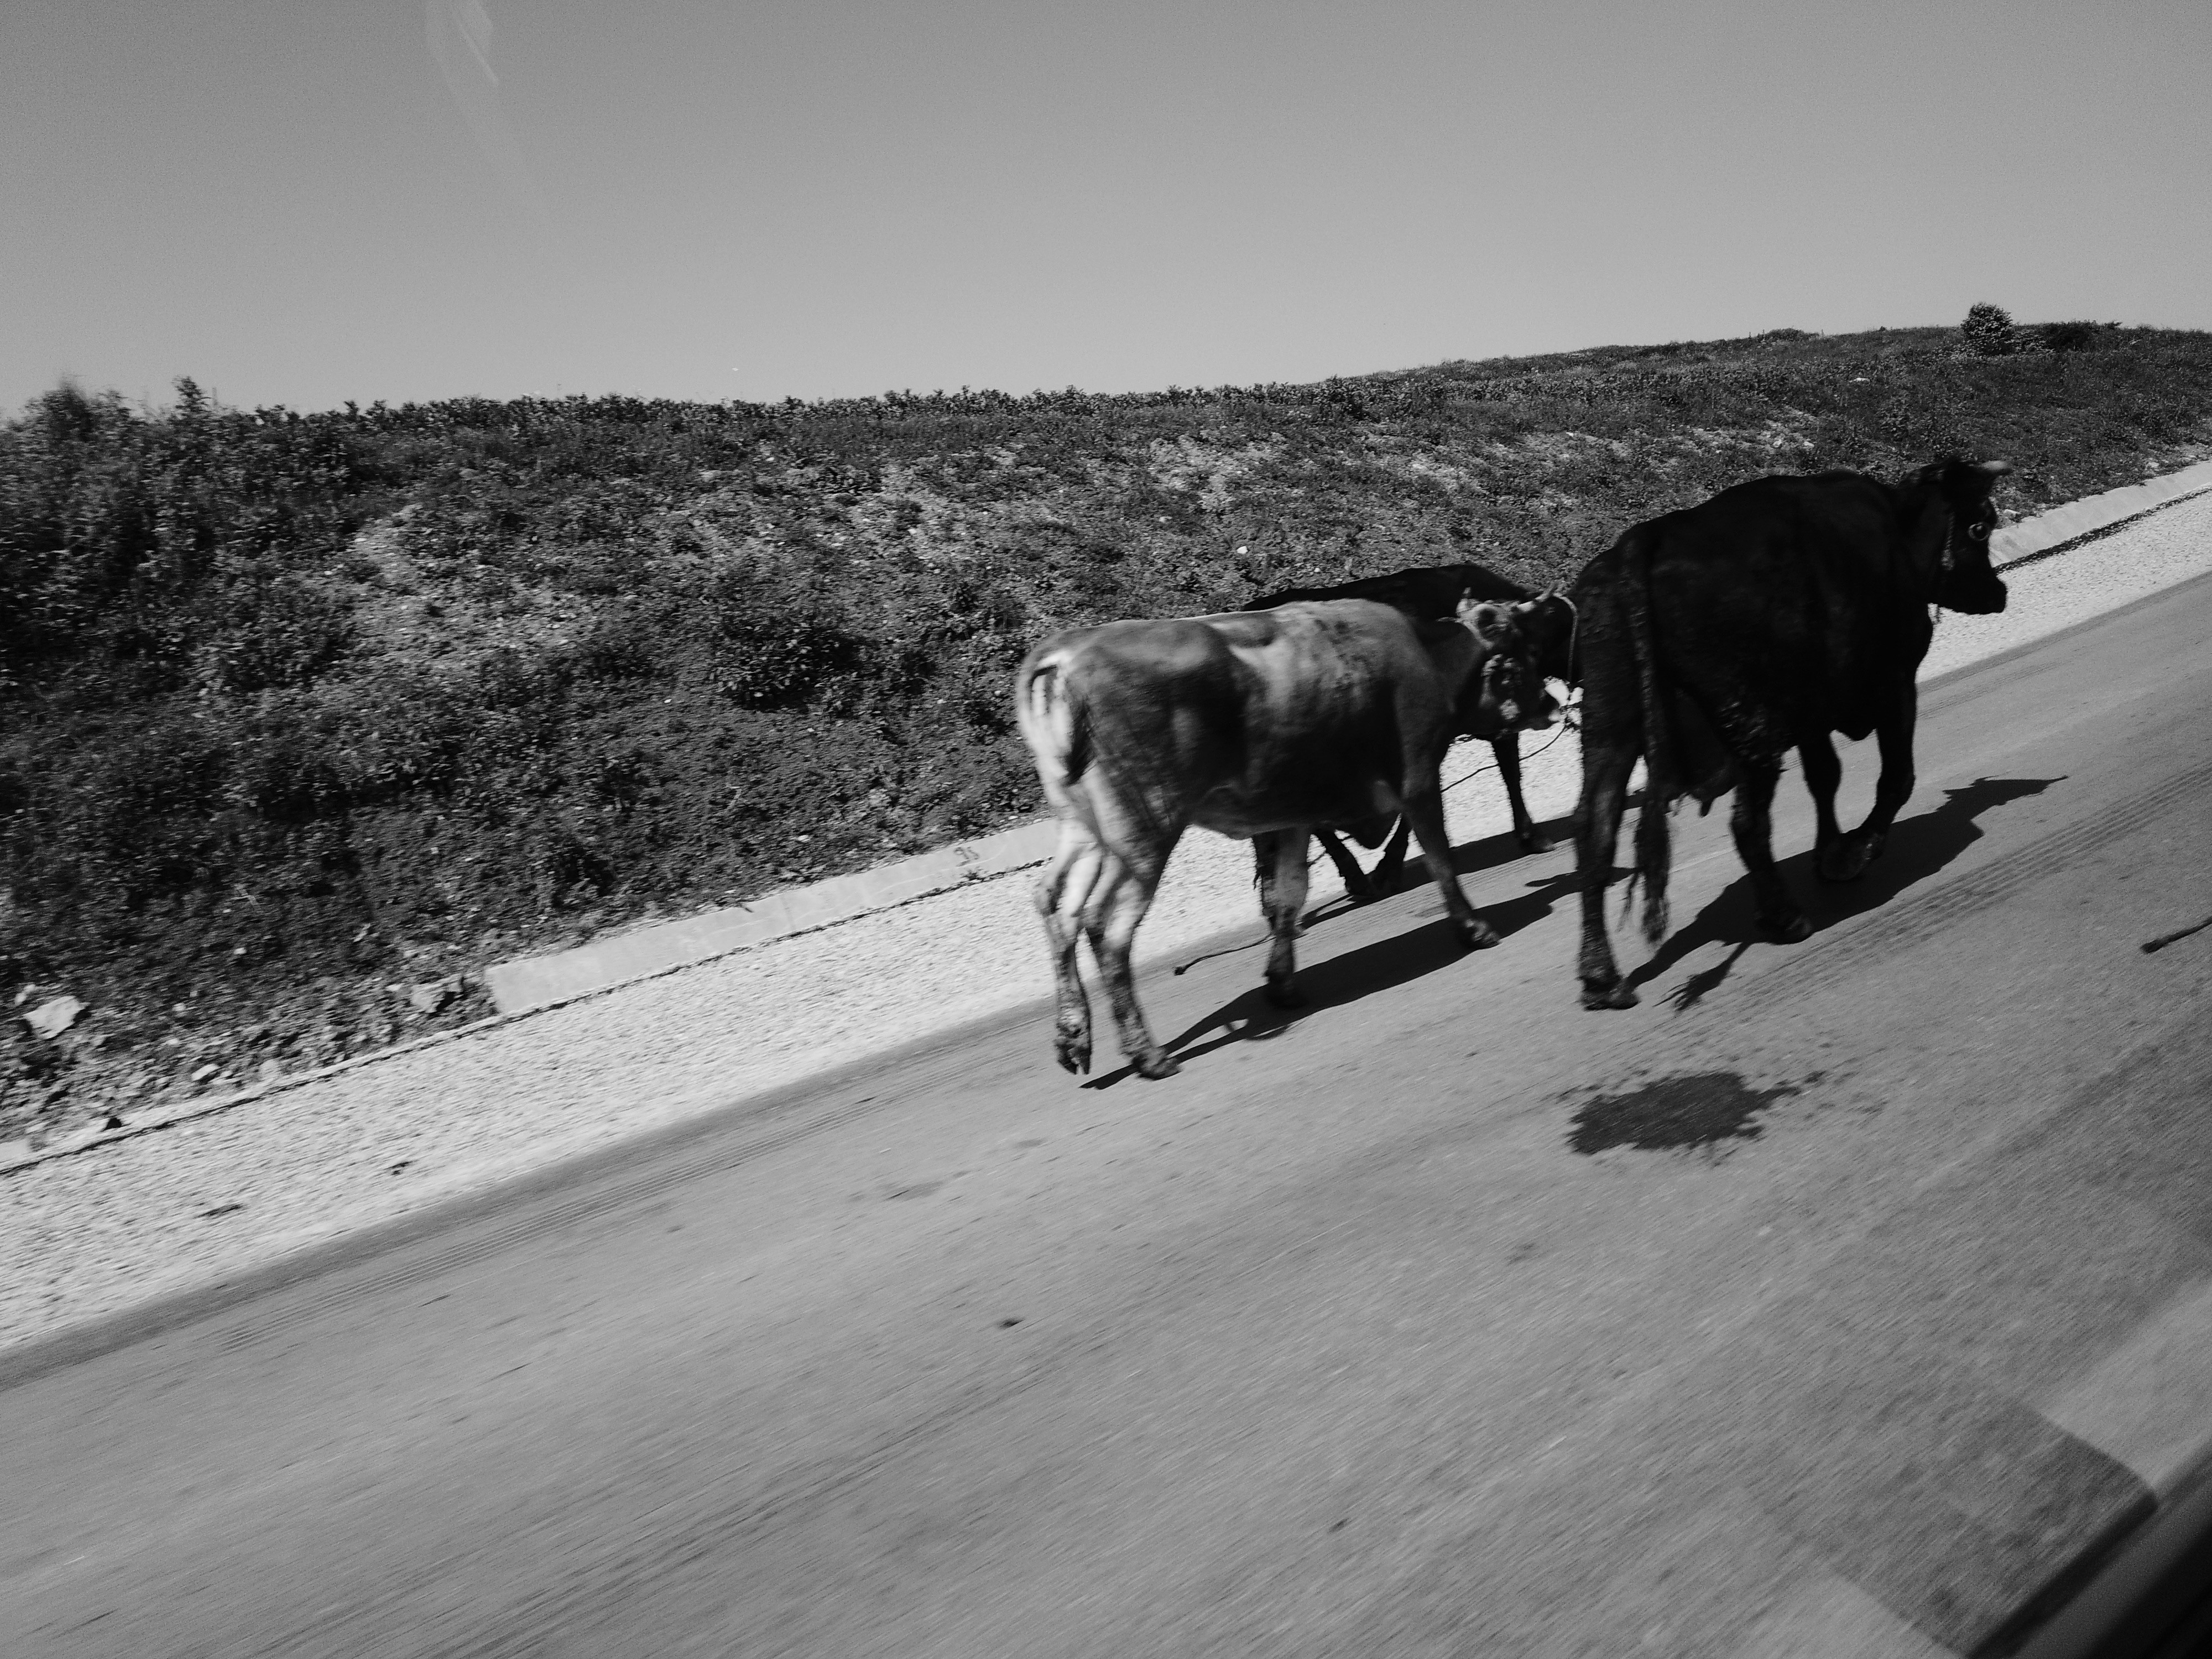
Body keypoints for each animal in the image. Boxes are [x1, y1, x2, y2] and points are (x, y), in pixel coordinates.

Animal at [1018, 593, 1557, 1084]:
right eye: (1524, 652)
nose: (1552, 703)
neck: (1430, 655)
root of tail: (1067, 651)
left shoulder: (1293, 816)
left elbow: (1287, 896)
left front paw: (1282, 983)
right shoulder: (1419, 778)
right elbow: (1442, 858)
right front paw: (1473, 928)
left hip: (1085, 827)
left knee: (1056, 906)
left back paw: (1073, 1035)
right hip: (1145, 830)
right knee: (1105, 929)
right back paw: (1147, 1055)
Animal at [1566, 451, 2017, 1013]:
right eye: (1981, 526)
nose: (1998, 593)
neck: (1899, 531)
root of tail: (1646, 535)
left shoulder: (1812, 713)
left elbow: (1825, 777)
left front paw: (1832, 849)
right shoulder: (1895, 683)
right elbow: (1897, 778)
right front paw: (1857, 851)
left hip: (1610, 725)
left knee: (1595, 830)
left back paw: (1601, 976)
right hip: (1752, 729)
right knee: (1747, 824)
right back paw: (1783, 916)